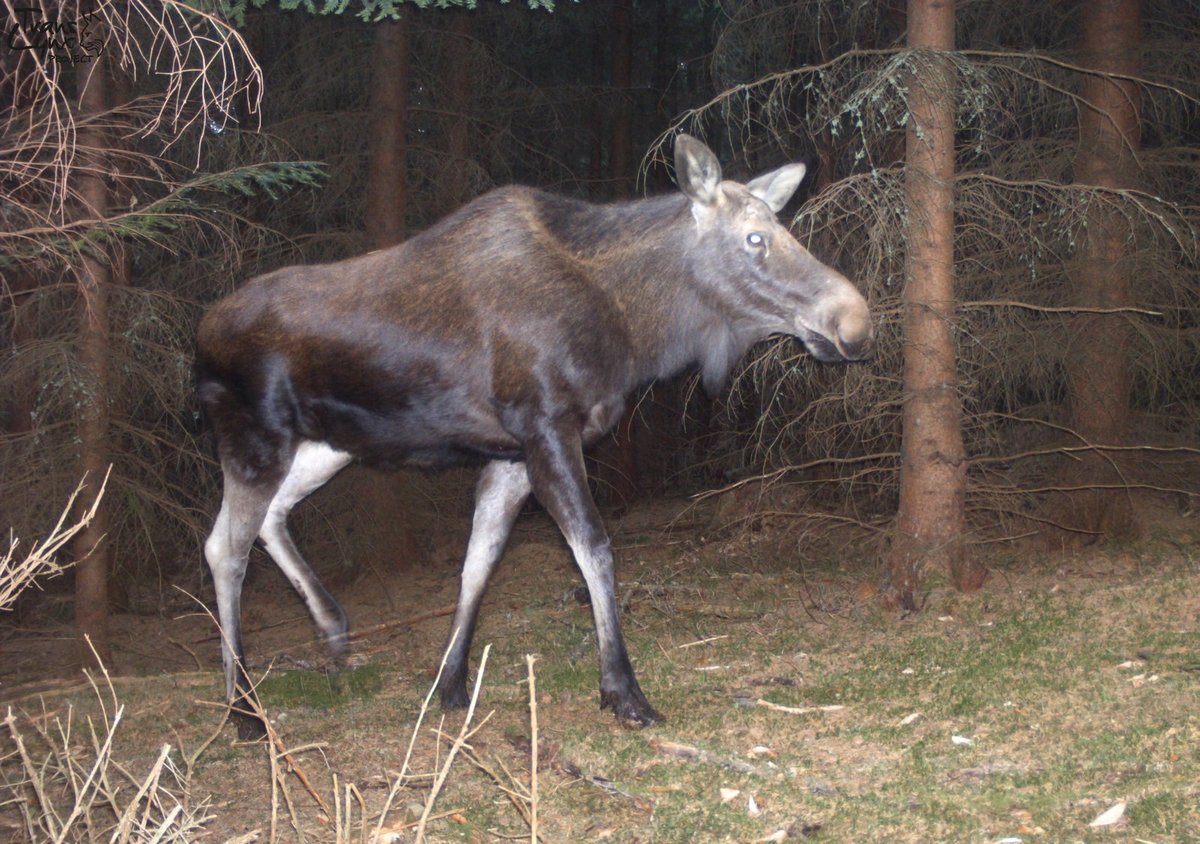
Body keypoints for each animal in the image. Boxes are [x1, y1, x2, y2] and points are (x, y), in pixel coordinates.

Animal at [196, 135, 873, 734]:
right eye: (756, 238)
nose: (854, 321)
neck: (634, 328)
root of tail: (198, 339)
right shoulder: (547, 426)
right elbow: (594, 548)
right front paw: (623, 691)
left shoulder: (510, 454)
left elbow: (480, 559)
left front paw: (449, 684)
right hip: (255, 434)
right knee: (225, 547)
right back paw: (243, 708)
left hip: (325, 443)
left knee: (263, 519)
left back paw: (331, 626)